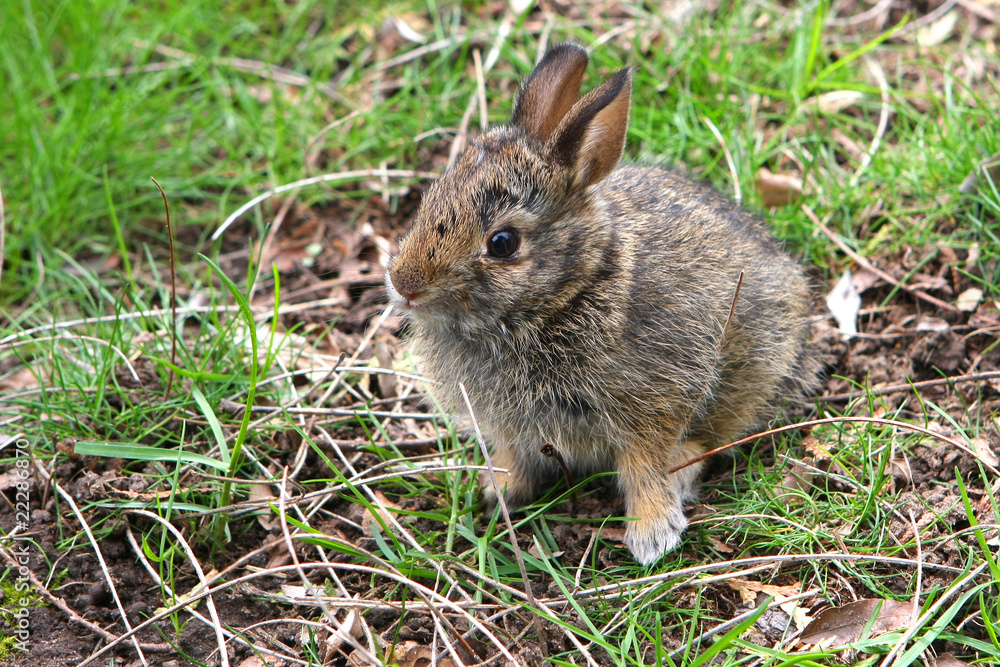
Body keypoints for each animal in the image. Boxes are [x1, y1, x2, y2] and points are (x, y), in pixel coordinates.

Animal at [384, 43, 815, 566]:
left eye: (503, 243)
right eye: (429, 200)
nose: (404, 284)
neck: (565, 296)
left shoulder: (655, 398)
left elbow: (644, 463)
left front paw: (652, 533)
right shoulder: (512, 427)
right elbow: (516, 456)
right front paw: (498, 490)